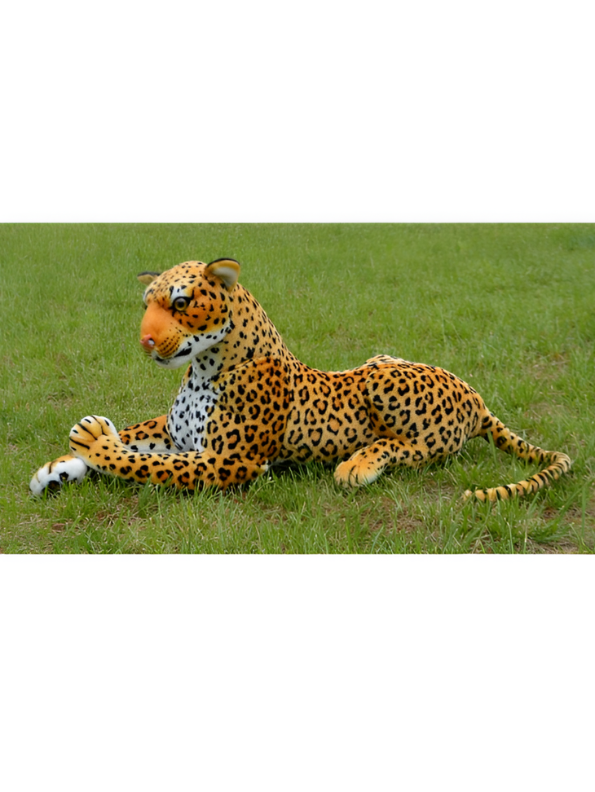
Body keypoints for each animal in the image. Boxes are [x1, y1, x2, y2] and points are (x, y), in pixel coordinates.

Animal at [30, 258, 572, 502]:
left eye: (180, 303)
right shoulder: (176, 432)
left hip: (383, 385)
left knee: (409, 446)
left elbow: (140, 462)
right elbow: (138, 439)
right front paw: (57, 469)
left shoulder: (232, 461)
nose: (144, 341)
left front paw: (92, 439)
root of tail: (475, 395)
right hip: (378, 359)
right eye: (148, 305)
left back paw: (358, 466)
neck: (203, 367)